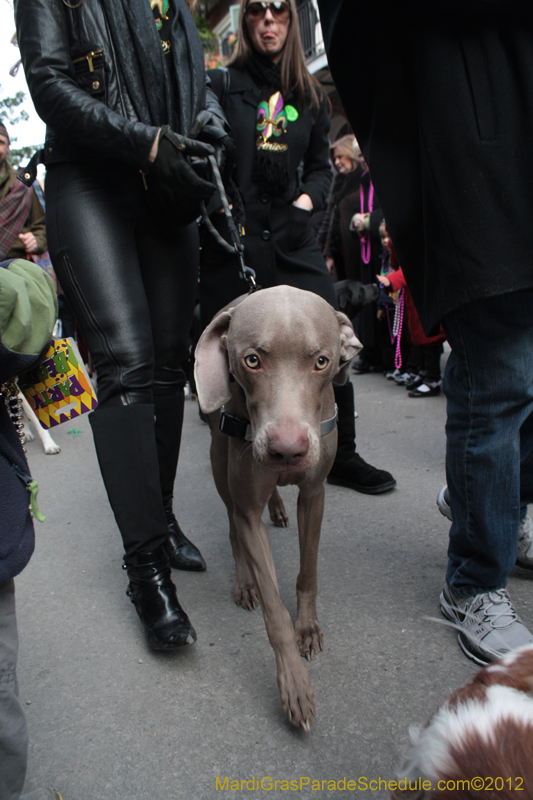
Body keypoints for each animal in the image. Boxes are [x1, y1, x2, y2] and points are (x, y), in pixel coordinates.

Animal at [193, 284, 360, 728]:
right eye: (252, 360)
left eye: (321, 361)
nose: (287, 450)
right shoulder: (249, 512)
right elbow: (273, 608)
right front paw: (294, 685)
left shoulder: (315, 494)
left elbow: (308, 573)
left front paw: (309, 629)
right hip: (219, 459)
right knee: (232, 526)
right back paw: (244, 582)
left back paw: (279, 507)